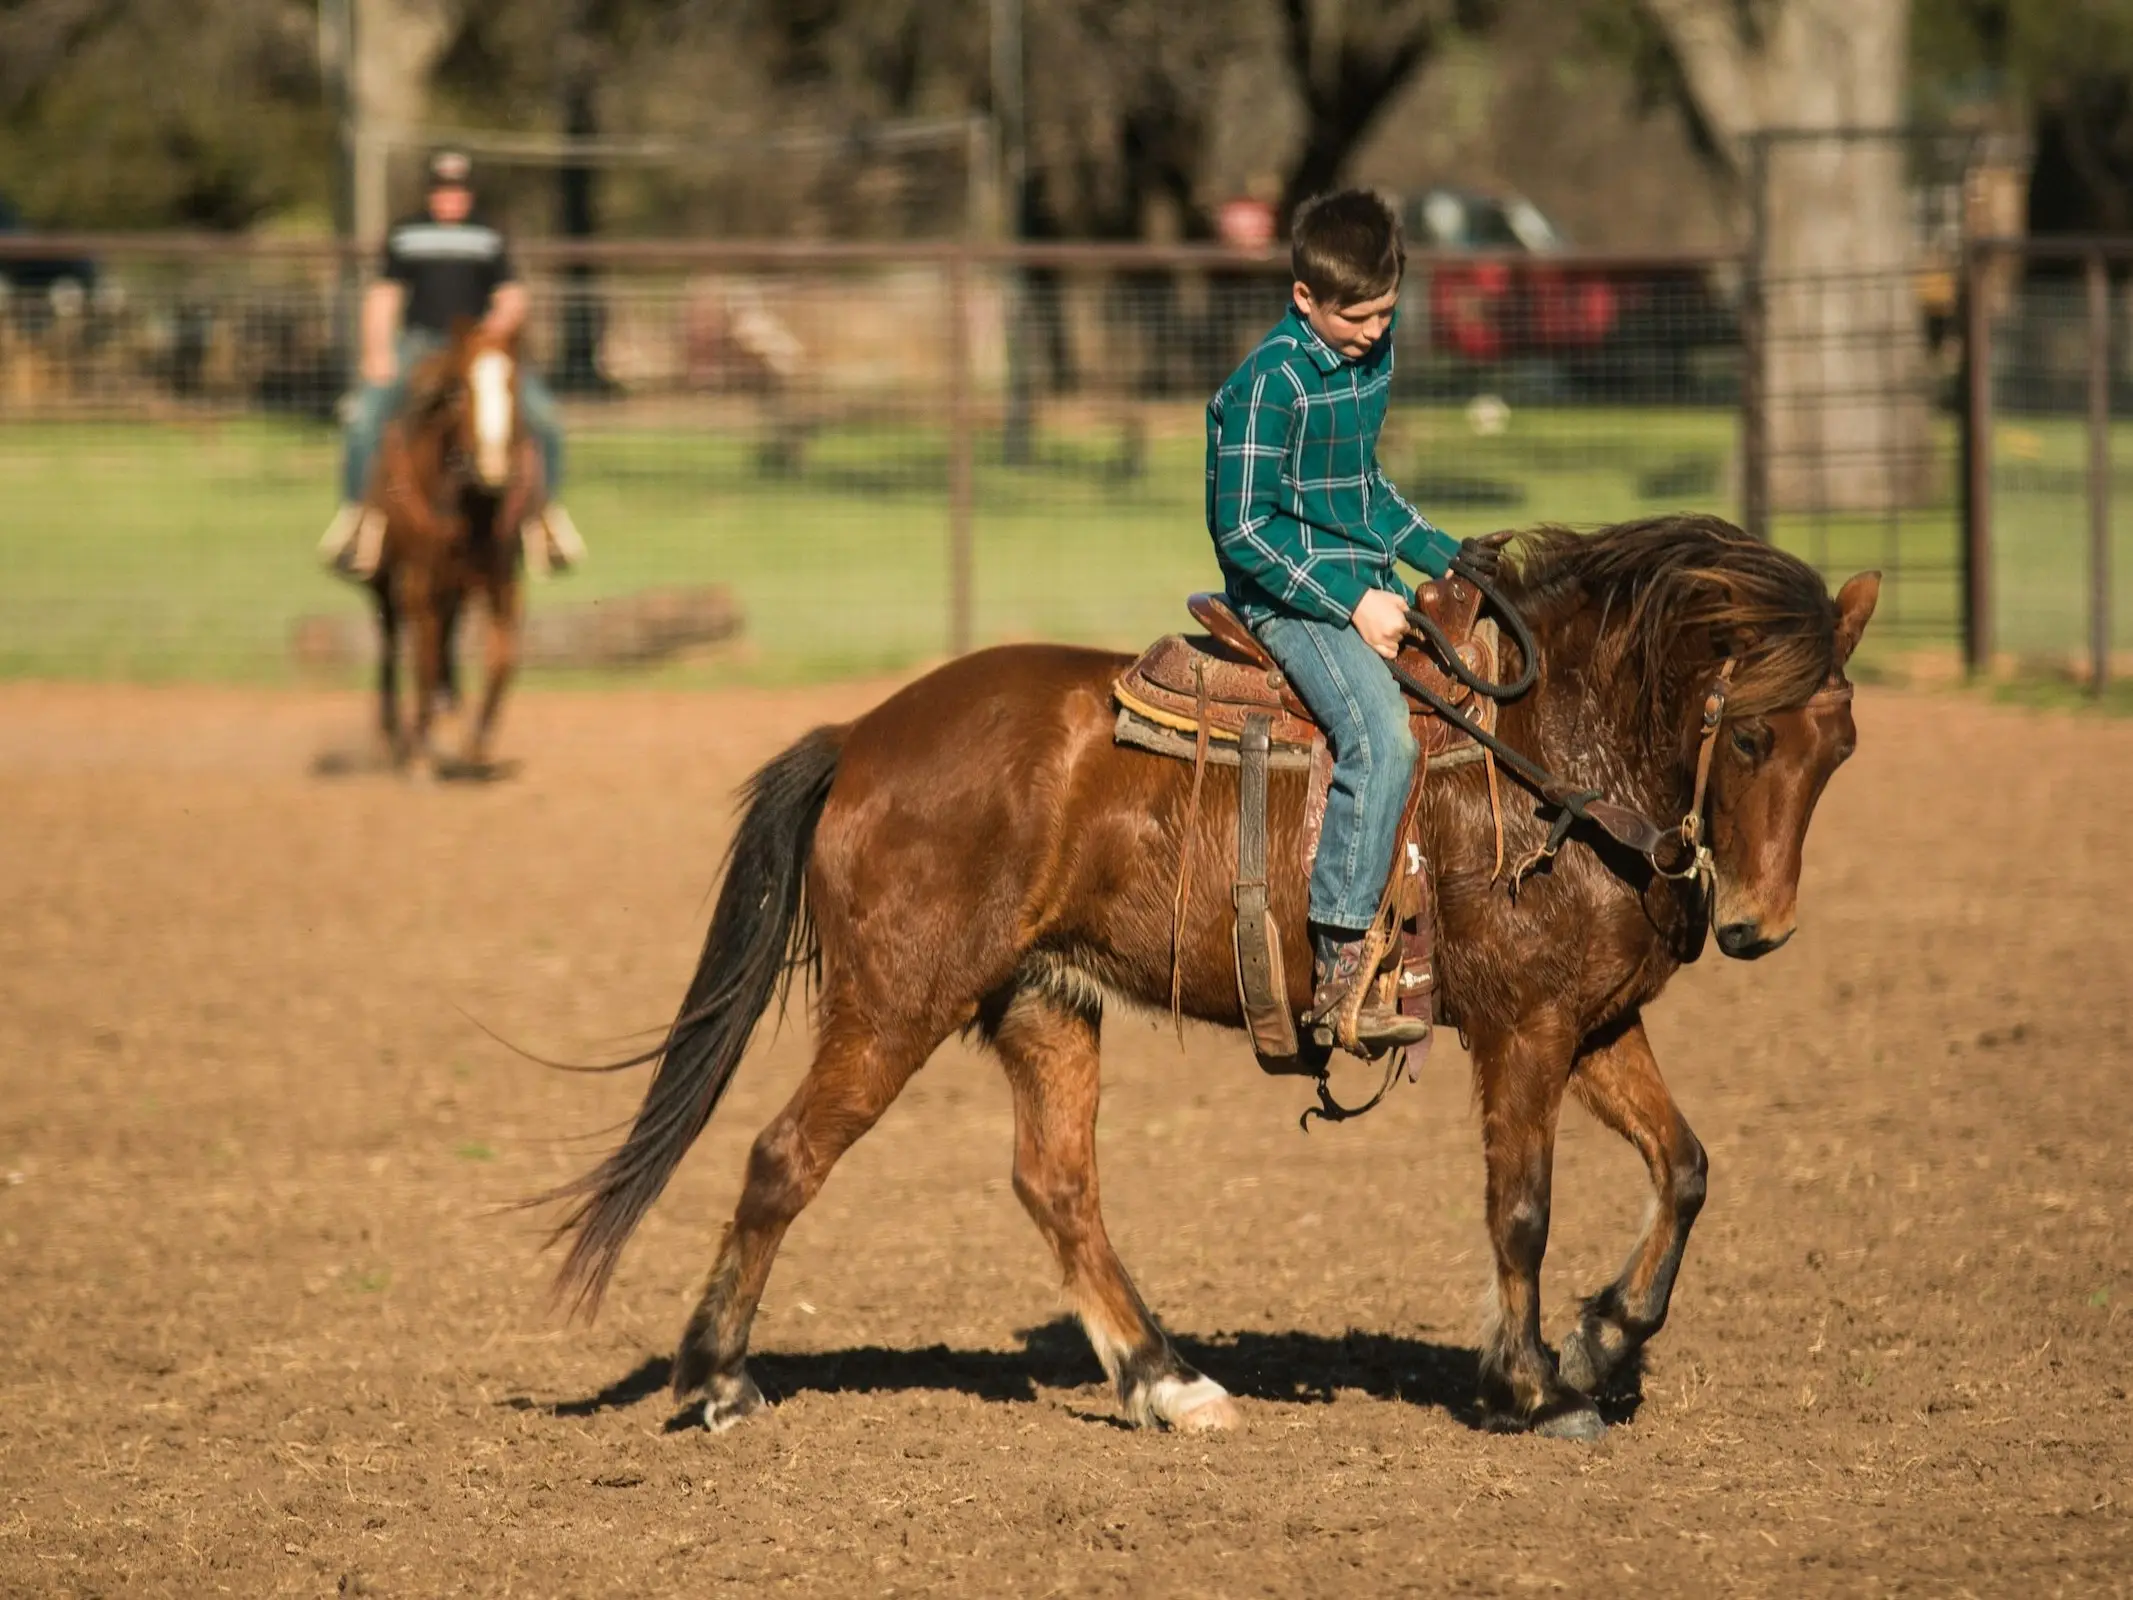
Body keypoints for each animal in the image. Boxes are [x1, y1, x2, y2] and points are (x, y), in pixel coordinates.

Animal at [367, 321, 543, 776]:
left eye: (513, 386)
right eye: (459, 391)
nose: (493, 465)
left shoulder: (502, 586)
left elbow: (502, 660)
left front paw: (475, 746)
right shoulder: (418, 586)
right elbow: (424, 663)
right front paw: (418, 757)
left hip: (456, 592)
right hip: (387, 583)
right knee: (392, 644)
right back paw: (395, 735)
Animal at [536, 514, 1879, 1441]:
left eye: (1843, 745)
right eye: (1751, 734)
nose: (1757, 927)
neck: (1553, 758)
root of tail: (861, 737)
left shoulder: (1598, 1025)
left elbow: (1686, 1168)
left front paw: (1605, 1341)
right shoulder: (1525, 1031)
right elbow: (1524, 1207)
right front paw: (1533, 1386)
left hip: (1044, 1005)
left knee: (1057, 1186)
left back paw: (1168, 1382)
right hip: (895, 1007)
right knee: (785, 1159)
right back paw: (718, 1381)